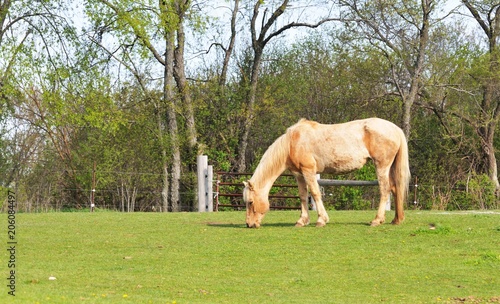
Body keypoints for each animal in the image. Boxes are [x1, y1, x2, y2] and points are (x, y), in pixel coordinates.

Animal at [242, 119, 410, 228]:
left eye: (250, 202)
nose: (249, 224)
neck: (292, 142)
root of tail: (395, 129)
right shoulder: (298, 174)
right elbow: (303, 196)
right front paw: (302, 221)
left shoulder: (309, 171)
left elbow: (315, 193)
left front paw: (321, 220)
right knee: (395, 189)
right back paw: (396, 220)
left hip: (382, 166)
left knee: (385, 190)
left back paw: (377, 220)